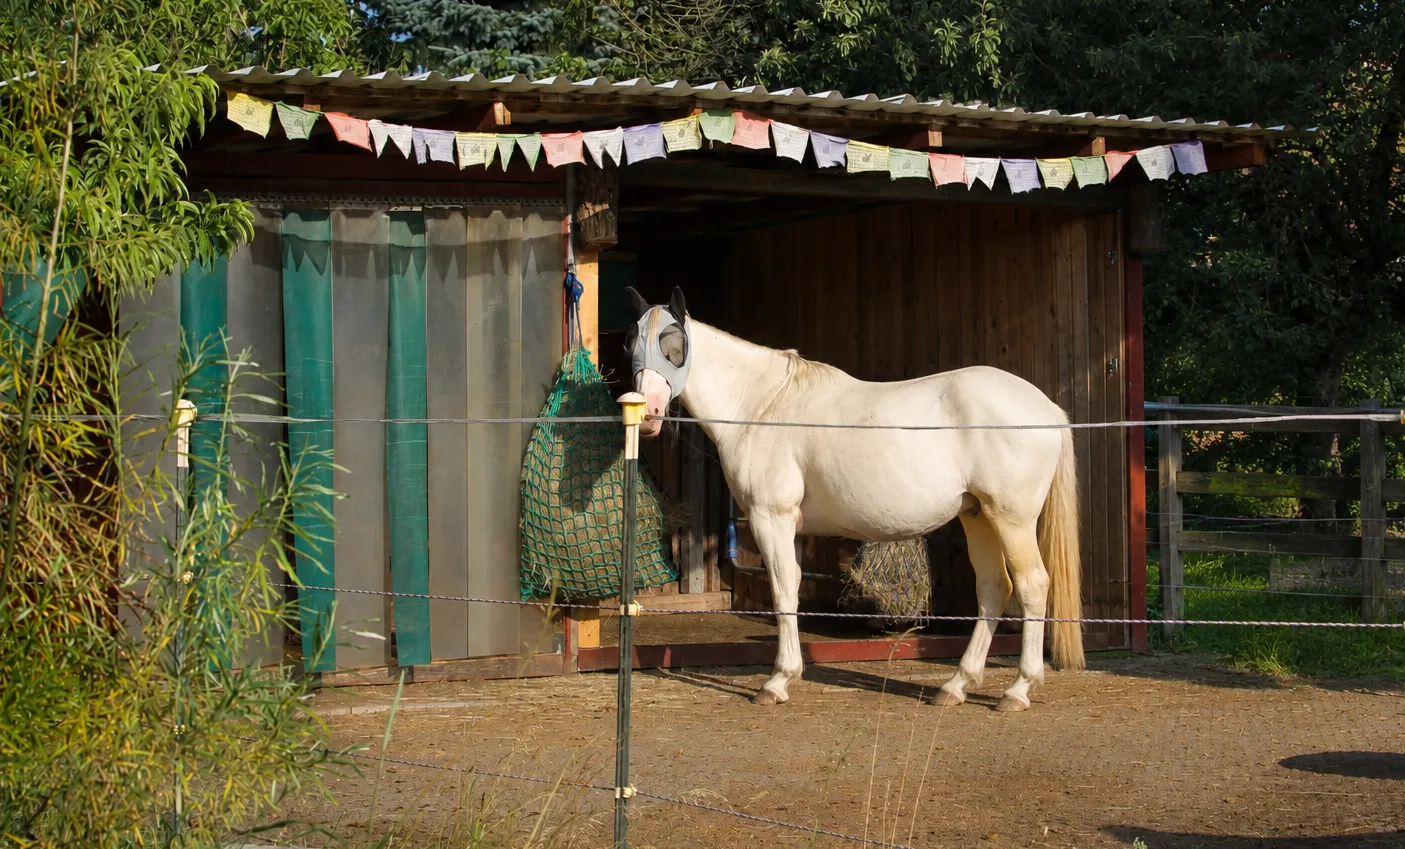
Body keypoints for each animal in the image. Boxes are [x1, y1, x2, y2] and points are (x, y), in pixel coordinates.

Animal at [623, 286, 1085, 712]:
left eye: (674, 344)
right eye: (632, 344)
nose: (648, 415)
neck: (764, 405)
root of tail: (1046, 408)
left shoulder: (771, 517)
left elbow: (783, 589)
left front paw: (777, 681)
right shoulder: (786, 524)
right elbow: (790, 586)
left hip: (1011, 518)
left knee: (1031, 585)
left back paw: (1018, 690)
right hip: (978, 516)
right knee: (993, 588)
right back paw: (955, 686)